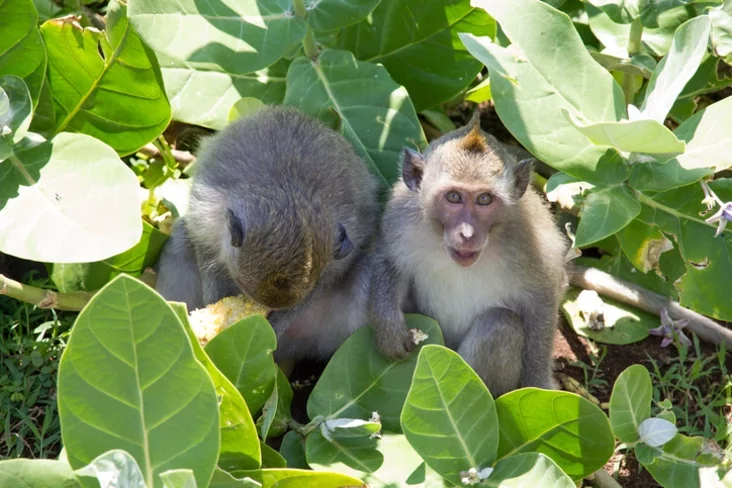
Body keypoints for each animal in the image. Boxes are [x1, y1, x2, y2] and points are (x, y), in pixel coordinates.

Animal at [155, 106, 379, 362]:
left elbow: (319, 286)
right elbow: (205, 252)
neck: (290, 194)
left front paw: (277, 324)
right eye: (241, 288)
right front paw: (216, 304)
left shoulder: (335, 258)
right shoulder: (205, 216)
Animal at [368, 112, 568, 397]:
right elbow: (389, 260)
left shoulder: (530, 244)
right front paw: (388, 329)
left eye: (484, 199)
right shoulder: (399, 214)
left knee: (500, 324)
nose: (467, 233)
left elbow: (543, 299)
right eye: (453, 197)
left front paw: (538, 384)